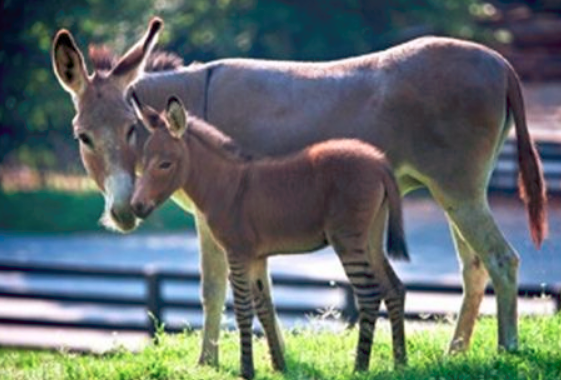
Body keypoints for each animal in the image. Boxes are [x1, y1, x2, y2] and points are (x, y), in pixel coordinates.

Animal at [132, 94, 412, 378]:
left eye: (165, 164)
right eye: (143, 160)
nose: (136, 207)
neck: (226, 186)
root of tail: (379, 162)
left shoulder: (238, 253)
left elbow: (243, 311)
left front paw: (247, 369)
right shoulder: (256, 257)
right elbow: (264, 308)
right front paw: (279, 366)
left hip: (347, 240)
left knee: (369, 294)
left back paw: (360, 367)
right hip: (370, 236)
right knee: (394, 288)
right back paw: (400, 362)